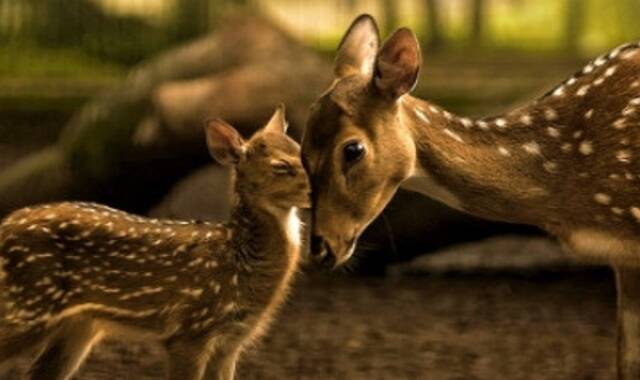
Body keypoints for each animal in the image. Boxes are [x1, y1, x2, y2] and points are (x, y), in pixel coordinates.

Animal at [0, 105, 310, 380]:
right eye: (282, 166)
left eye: (302, 151)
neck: (239, 261)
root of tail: (5, 225)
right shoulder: (189, 330)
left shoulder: (231, 341)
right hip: (27, 306)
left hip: (78, 327)